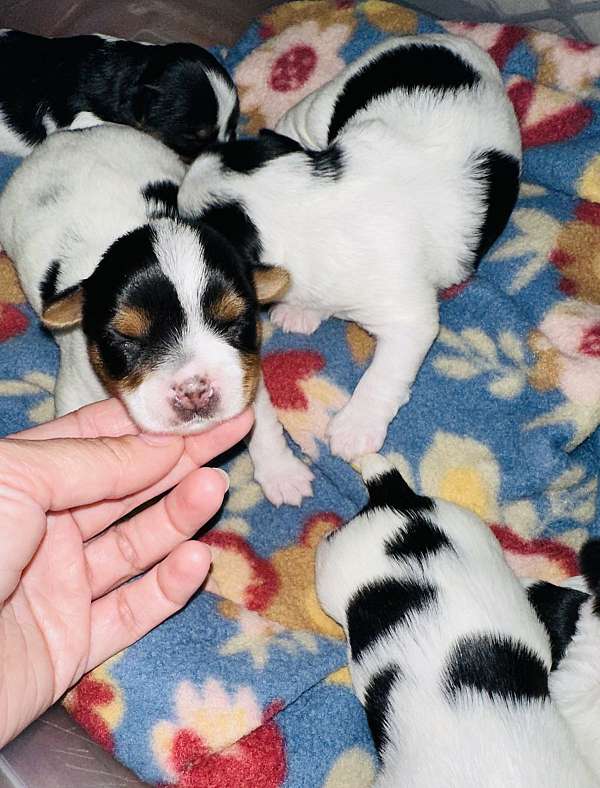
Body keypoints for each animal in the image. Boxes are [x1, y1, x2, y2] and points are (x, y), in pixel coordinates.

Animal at [0, 123, 310, 504]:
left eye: (233, 322)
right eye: (127, 339)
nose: (194, 390)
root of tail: (74, 133)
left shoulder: (245, 371)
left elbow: (261, 418)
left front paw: (284, 475)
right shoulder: (77, 389)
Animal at [177, 33, 520, 478]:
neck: (300, 198)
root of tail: (455, 38)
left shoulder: (409, 318)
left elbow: (384, 375)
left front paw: (355, 428)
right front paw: (303, 310)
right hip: (321, 103)